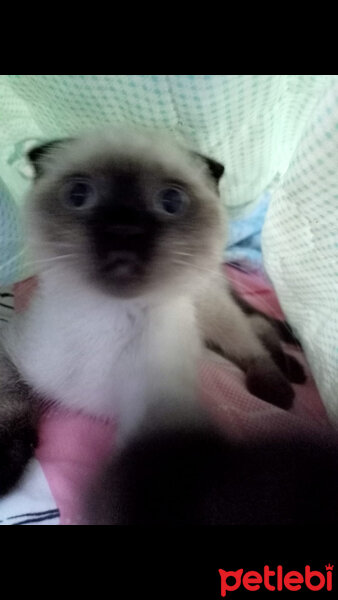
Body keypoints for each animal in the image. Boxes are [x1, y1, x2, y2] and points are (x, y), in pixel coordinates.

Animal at [0, 125, 304, 492]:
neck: (109, 318)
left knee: (252, 340)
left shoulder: (160, 408)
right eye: (78, 194)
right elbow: (13, 397)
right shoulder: (14, 352)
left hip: (214, 313)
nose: (123, 230)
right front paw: (8, 459)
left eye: (171, 201)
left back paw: (282, 385)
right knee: (258, 327)